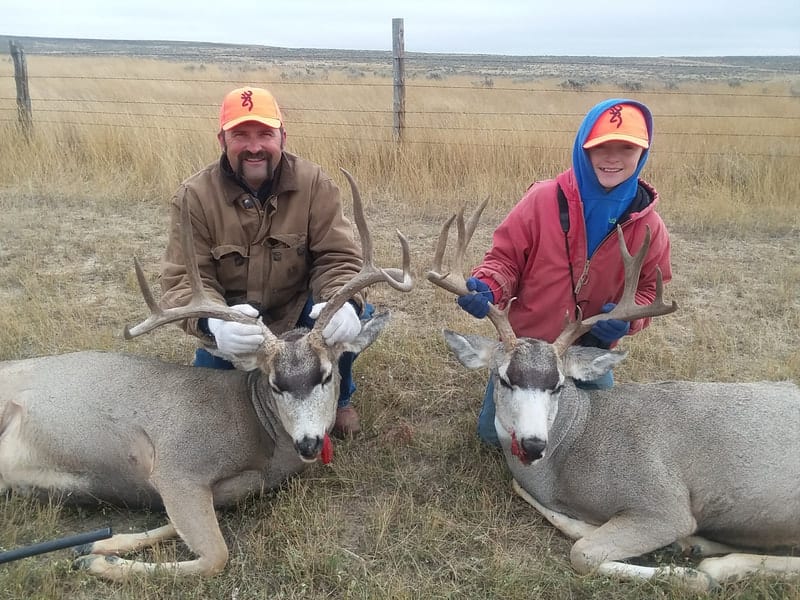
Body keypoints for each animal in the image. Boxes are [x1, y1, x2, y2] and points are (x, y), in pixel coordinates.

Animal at [0, 169, 413, 581]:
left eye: (326, 375)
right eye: (275, 384)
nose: (309, 443)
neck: (259, 434)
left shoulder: (230, 484)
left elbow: (178, 522)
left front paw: (95, 546)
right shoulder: (177, 466)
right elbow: (215, 555)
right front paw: (99, 560)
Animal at [427, 202, 800, 592]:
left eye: (559, 384)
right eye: (503, 379)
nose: (533, 444)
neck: (575, 445)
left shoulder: (664, 503)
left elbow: (583, 554)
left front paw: (687, 575)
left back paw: (715, 566)